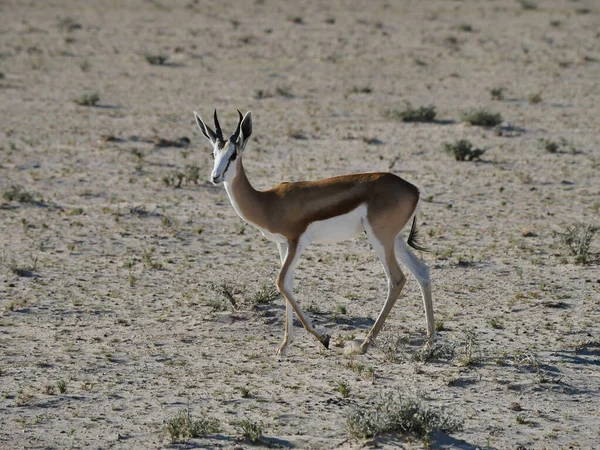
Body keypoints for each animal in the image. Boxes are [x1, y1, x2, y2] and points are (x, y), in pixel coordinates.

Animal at [195, 110, 434, 356]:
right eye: (213, 152)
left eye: (233, 154)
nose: (215, 176)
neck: (268, 202)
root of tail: (414, 190)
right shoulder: (282, 245)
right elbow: (288, 284)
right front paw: (284, 346)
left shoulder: (297, 242)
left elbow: (280, 282)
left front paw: (323, 338)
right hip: (394, 239)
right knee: (422, 271)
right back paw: (429, 342)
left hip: (380, 239)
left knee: (396, 279)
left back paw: (363, 345)